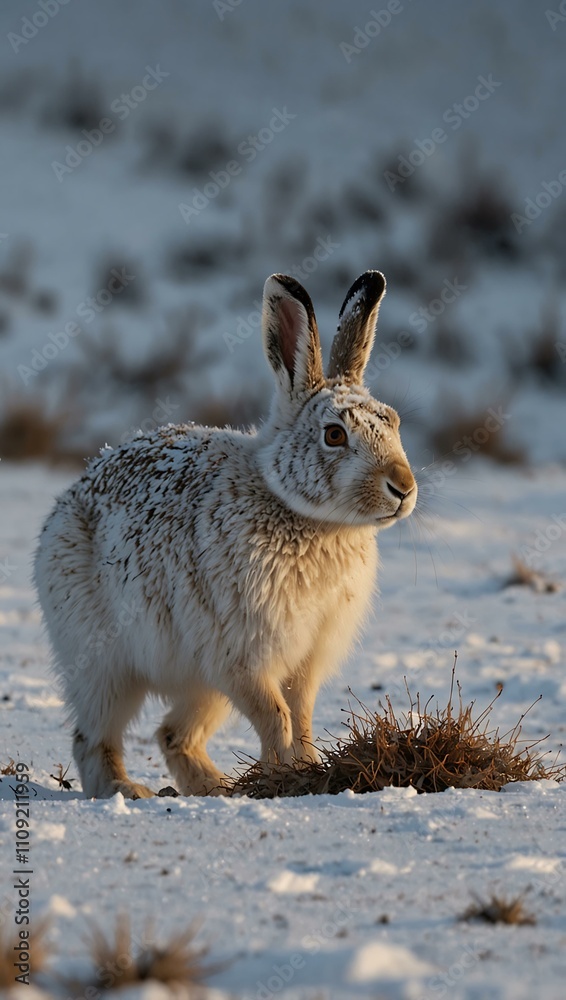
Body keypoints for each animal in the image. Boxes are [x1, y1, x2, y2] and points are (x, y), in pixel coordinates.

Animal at [34, 270, 417, 799]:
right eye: (335, 435)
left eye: (394, 422)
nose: (403, 488)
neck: (303, 515)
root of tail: (65, 505)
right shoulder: (240, 656)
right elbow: (276, 718)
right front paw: (283, 779)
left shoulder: (302, 660)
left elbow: (301, 716)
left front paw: (305, 772)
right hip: (105, 663)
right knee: (92, 736)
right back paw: (127, 790)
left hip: (201, 686)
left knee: (172, 735)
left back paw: (214, 787)